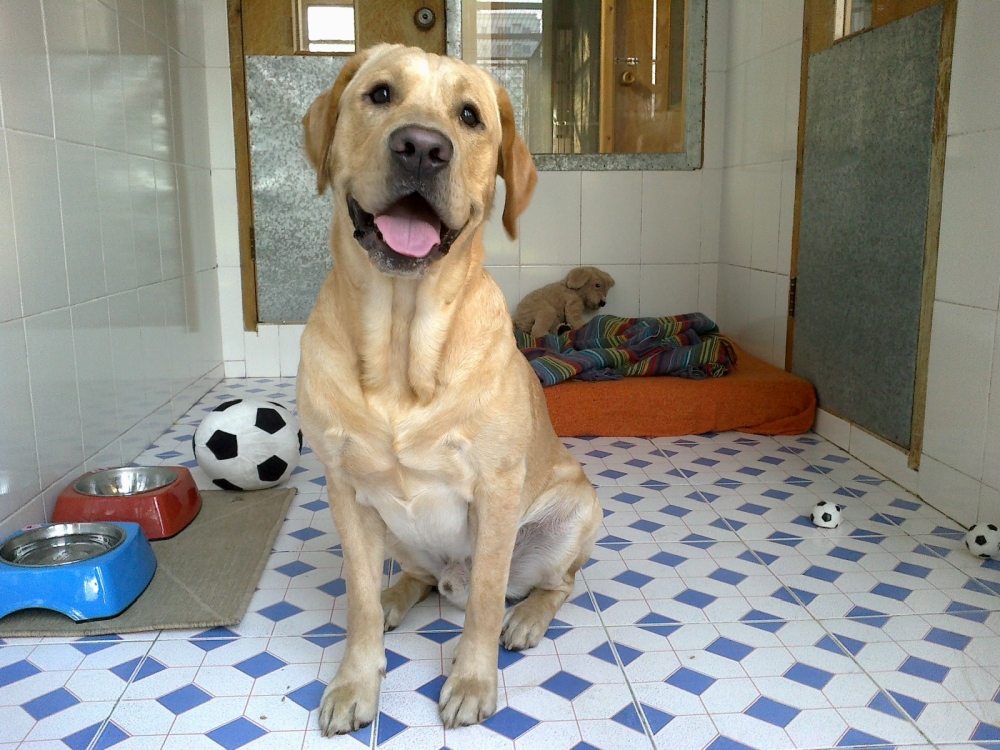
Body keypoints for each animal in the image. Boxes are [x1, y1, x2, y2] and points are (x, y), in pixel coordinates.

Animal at [296, 44, 601, 736]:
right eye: (380, 94)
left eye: (469, 116)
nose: (422, 148)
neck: (402, 348)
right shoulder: (345, 489)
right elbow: (355, 599)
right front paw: (355, 682)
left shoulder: (495, 489)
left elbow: (487, 601)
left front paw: (471, 680)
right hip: (395, 530)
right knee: (416, 578)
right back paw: (395, 597)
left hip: (575, 510)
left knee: (551, 585)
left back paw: (526, 619)